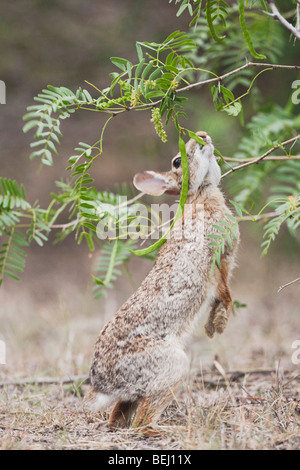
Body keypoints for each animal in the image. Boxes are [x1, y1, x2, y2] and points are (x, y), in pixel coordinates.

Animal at [84, 130, 239, 436]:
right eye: (177, 161)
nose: (202, 135)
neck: (200, 194)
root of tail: (102, 385)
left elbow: (219, 296)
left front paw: (211, 327)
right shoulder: (220, 259)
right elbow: (224, 292)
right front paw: (220, 325)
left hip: (139, 388)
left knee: (119, 417)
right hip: (173, 367)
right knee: (142, 423)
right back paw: (173, 431)